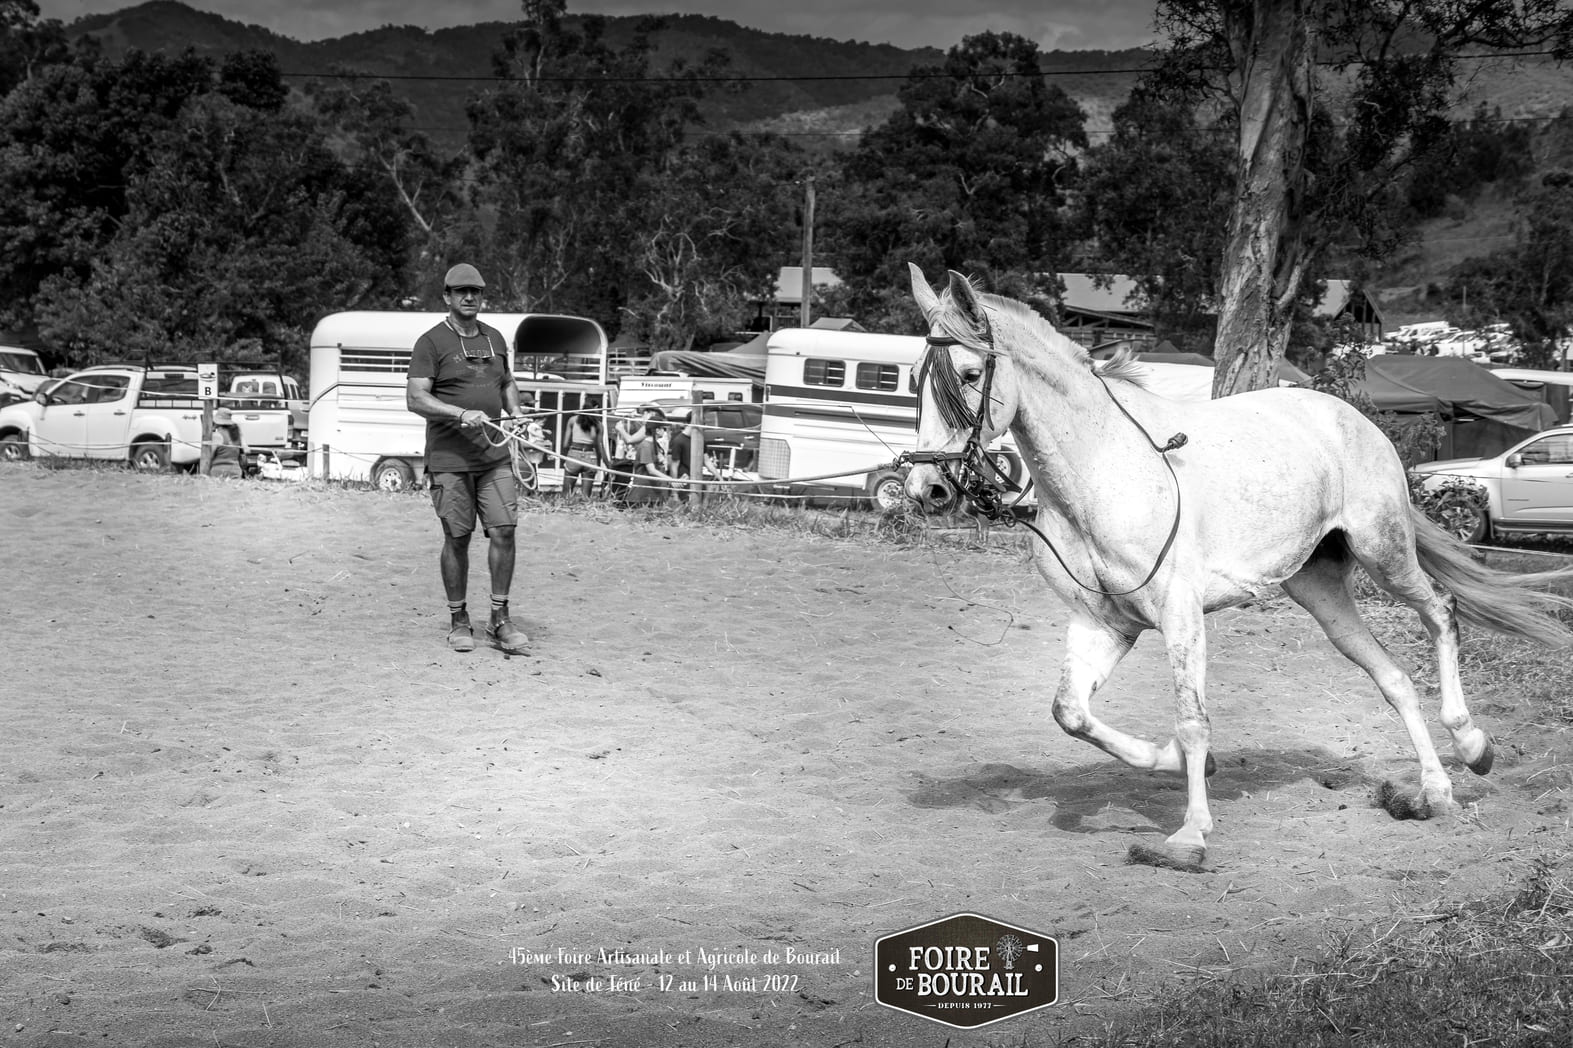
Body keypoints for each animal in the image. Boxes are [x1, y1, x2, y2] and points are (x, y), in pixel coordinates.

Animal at [906, 265, 1573, 868]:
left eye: (969, 374)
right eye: (915, 379)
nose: (926, 490)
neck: (1101, 472)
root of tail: (1352, 418)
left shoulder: (1180, 616)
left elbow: (1192, 719)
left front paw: (1190, 834)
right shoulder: (1103, 624)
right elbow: (1071, 713)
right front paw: (1177, 763)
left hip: (1384, 553)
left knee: (1442, 613)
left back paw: (1473, 744)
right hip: (1321, 590)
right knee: (1394, 678)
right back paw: (1435, 791)